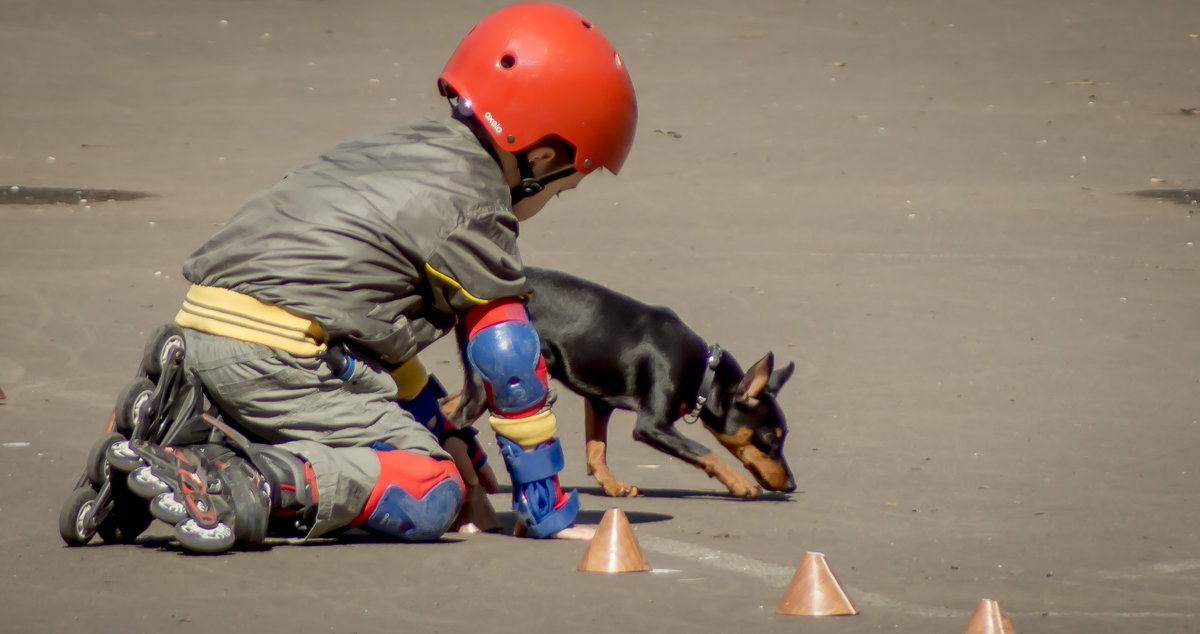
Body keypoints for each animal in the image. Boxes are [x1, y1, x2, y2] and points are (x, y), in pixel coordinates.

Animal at [451, 265, 796, 497]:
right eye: (770, 438)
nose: (792, 484)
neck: (703, 374)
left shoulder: (598, 402)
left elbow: (596, 450)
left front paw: (613, 486)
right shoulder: (651, 426)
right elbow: (704, 451)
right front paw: (741, 484)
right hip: (491, 387)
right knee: (452, 424)